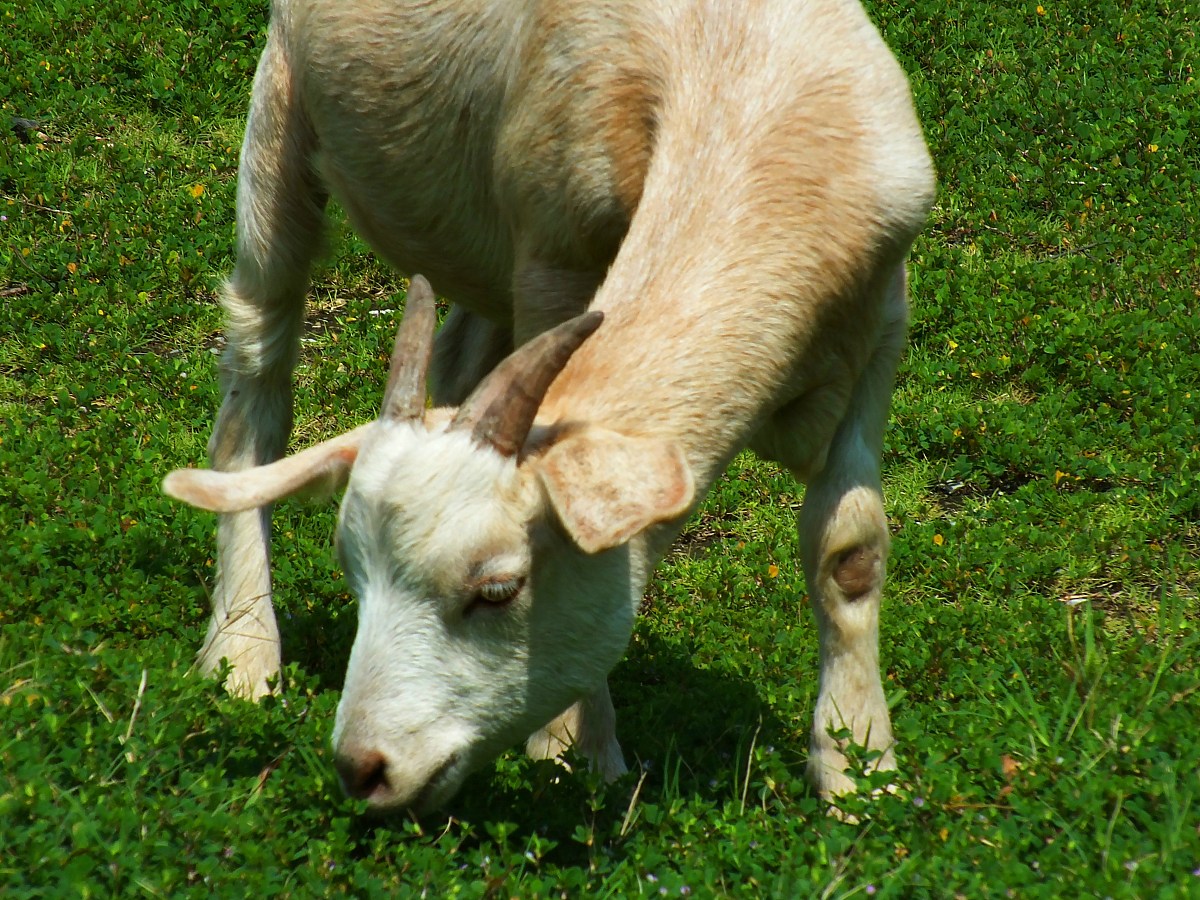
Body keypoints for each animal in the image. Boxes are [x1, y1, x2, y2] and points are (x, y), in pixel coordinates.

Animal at [164, 0, 940, 816]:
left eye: (497, 590)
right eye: (352, 572)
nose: (362, 768)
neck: (748, 94)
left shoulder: (881, 317)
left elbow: (848, 550)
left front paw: (860, 771)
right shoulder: (552, 257)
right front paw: (579, 754)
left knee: (459, 355)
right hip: (281, 111)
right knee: (256, 379)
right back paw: (243, 656)